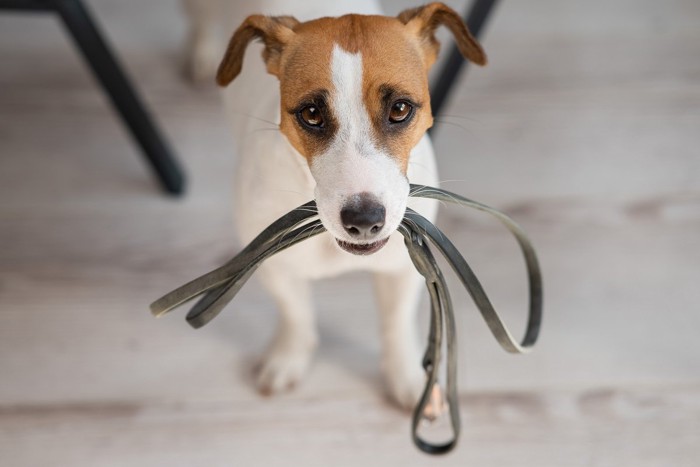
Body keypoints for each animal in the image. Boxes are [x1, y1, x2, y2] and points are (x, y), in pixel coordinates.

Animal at [183, 0, 484, 410]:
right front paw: (288, 357)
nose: (364, 219)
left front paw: (407, 379)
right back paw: (200, 53)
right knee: (199, 19)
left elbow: (396, 324)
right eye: (311, 114)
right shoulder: (273, 266)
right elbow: (295, 314)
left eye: (400, 109)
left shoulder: (404, 267)